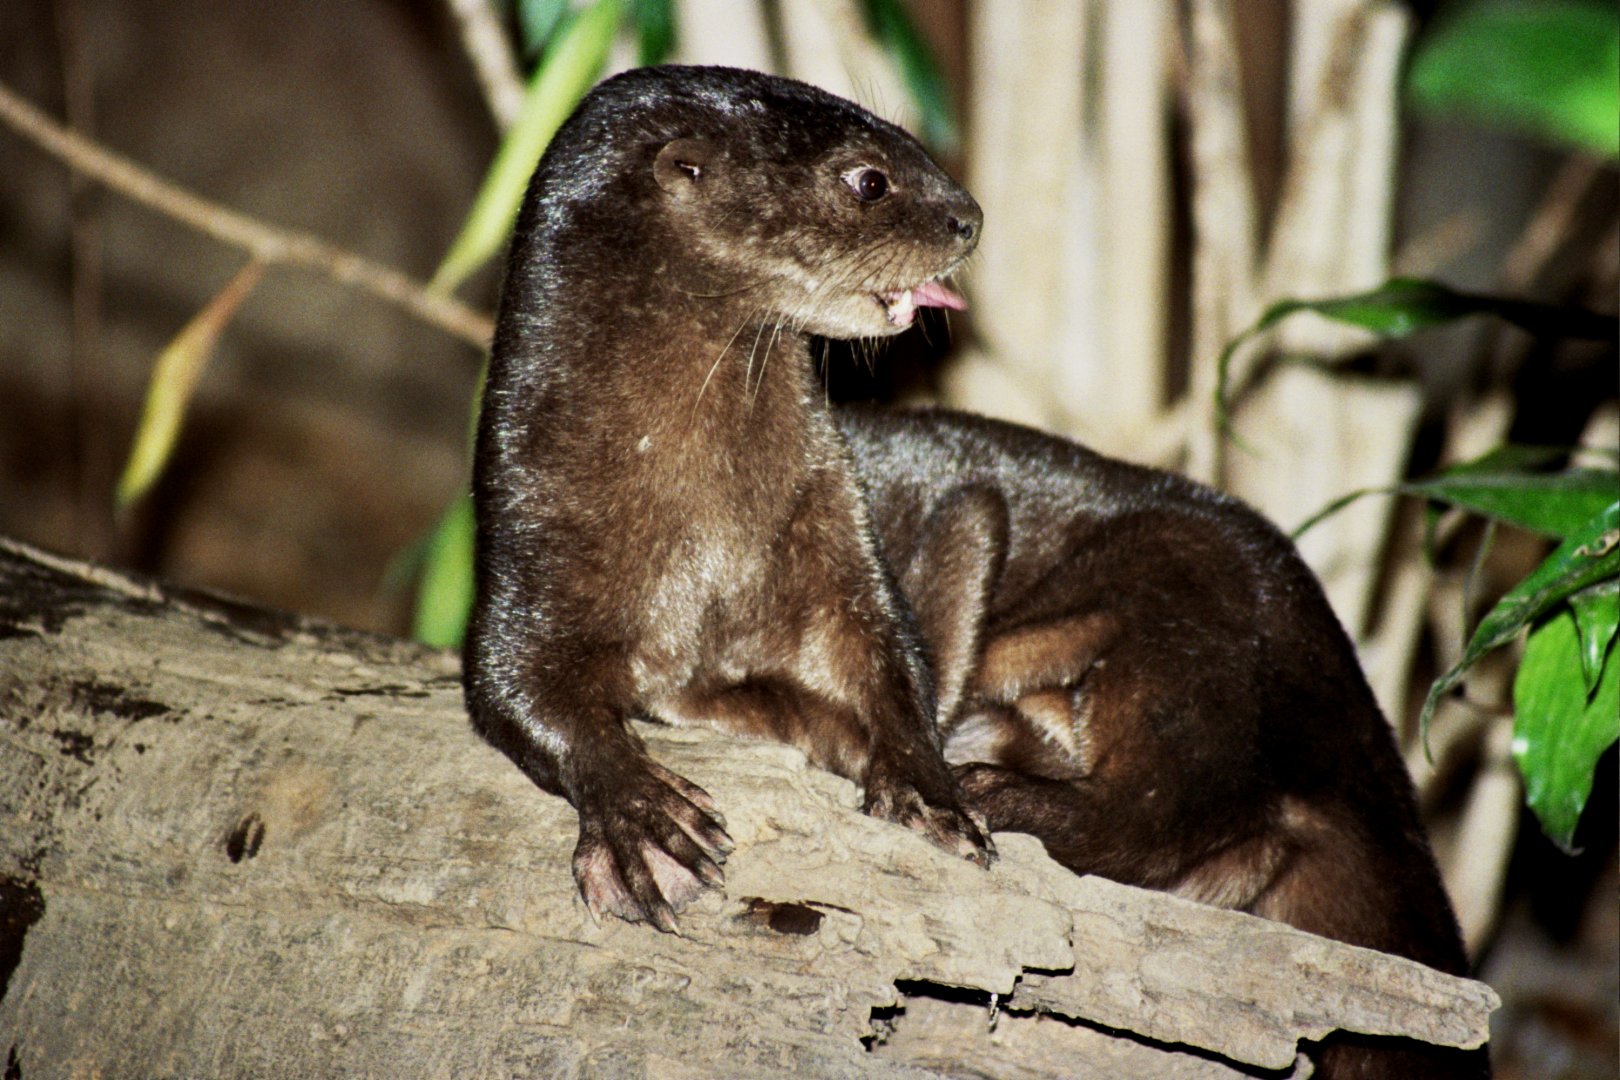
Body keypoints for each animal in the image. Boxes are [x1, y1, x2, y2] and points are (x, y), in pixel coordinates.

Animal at [465, 65, 991, 934]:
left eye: (911, 140)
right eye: (869, 180)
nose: (969, 217)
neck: (707, 532)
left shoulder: (828, 513)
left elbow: (886, 651)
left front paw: (931, 790)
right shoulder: (530, 517)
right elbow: (514, 686)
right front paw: (644, 825)